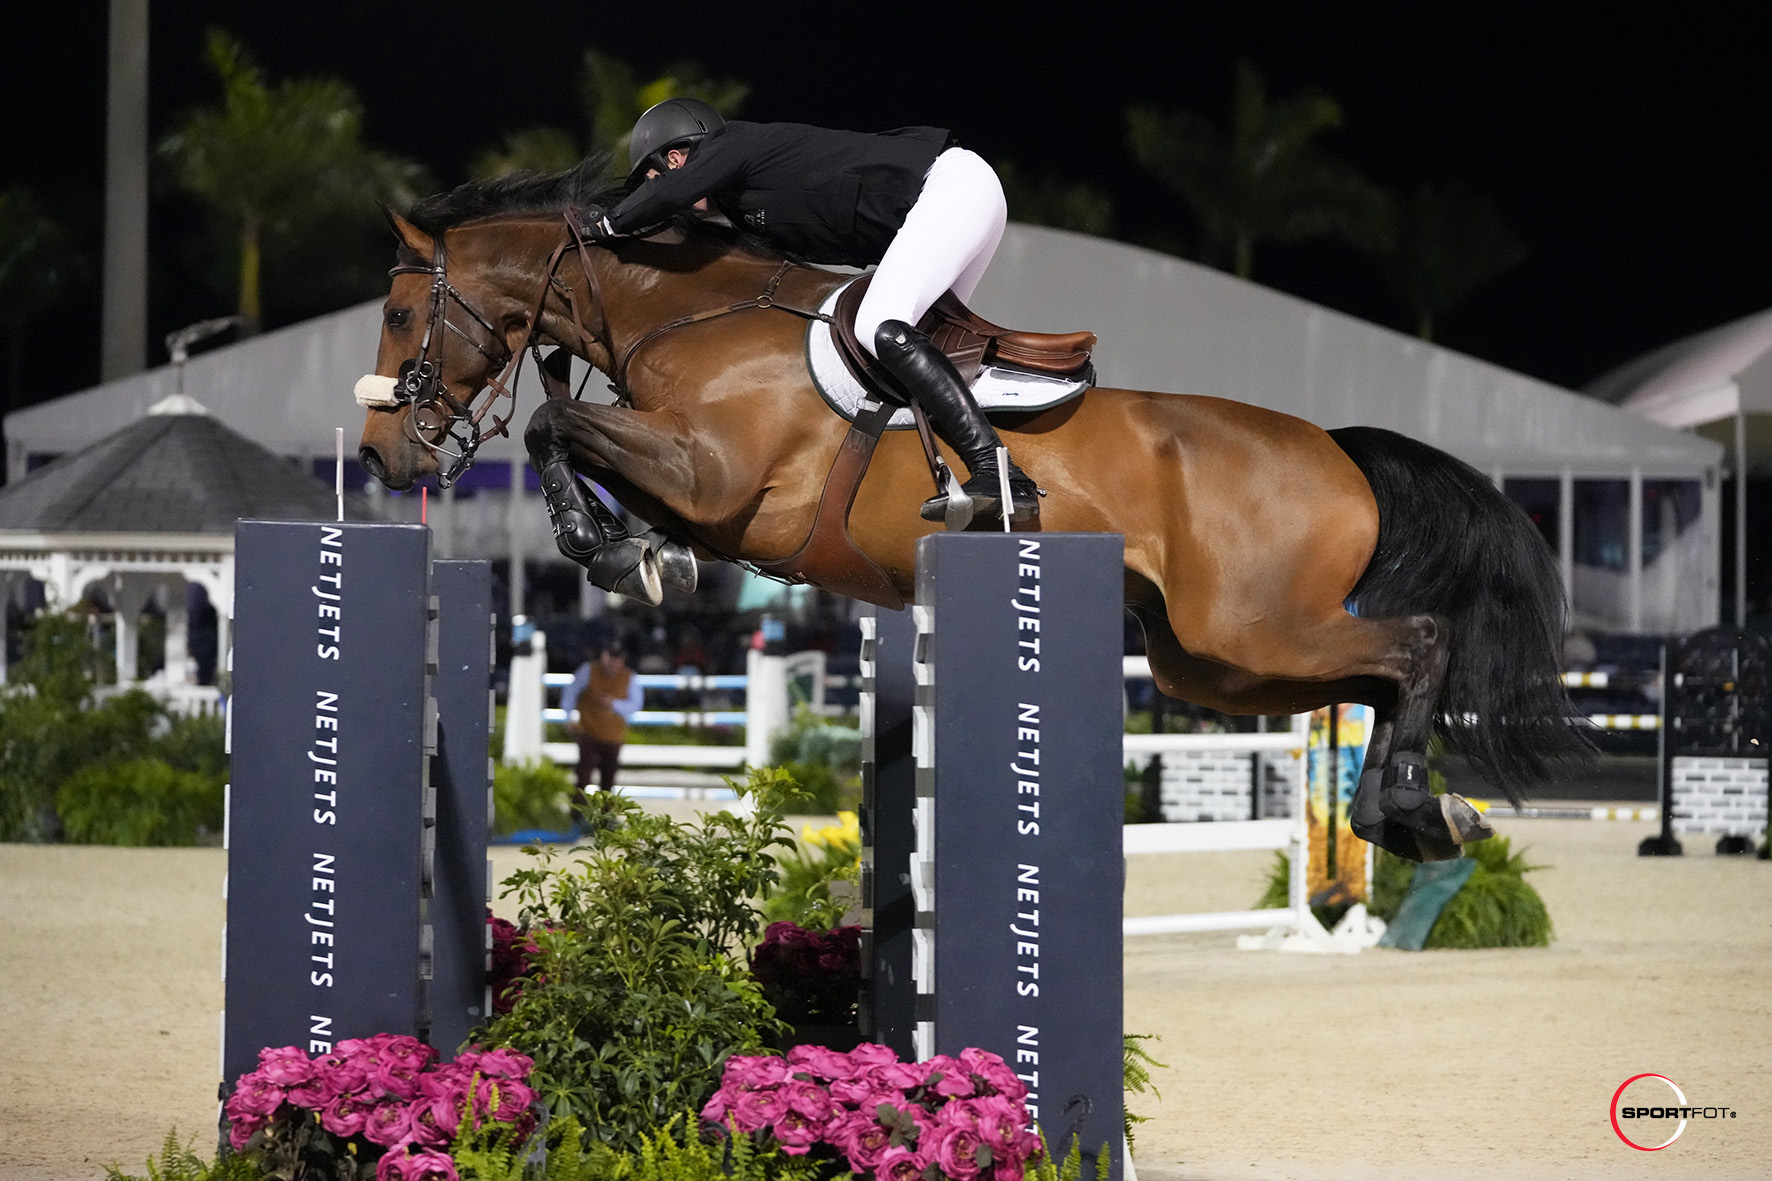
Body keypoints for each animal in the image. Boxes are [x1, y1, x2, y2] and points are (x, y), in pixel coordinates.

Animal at [352, 158, 1587, 854]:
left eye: (404, 315)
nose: (378, 453)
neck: (685, 309)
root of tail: (1336, 448)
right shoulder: (701, 492)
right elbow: (572, 435)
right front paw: (632, 550)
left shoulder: (717, 477)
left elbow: (556, 426)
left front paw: (610, 550)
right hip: (1213, 660)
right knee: (1377, 673)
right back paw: (1412, 814)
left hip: (1252, 628)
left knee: (1416, 644)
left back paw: (1415, 808)